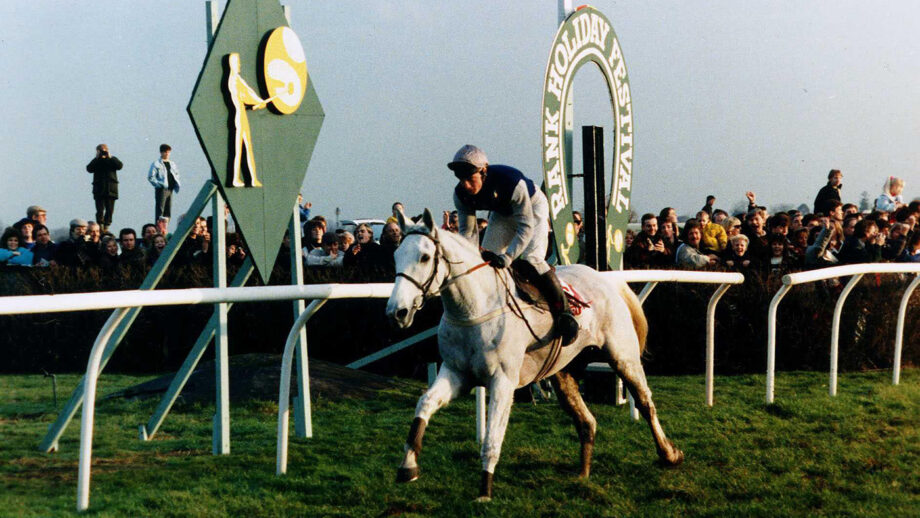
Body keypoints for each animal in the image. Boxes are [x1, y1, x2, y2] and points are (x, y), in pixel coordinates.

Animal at [384, 211, 680, 504]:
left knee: (644, 402)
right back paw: (583, 474)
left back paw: (669, 454)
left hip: (622, 355)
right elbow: (424, 404)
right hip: (563, 371)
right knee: (586, 421)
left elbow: (492, 438)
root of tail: (602, 277)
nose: (396, 312)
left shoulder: (502, 381)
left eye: (424, 257)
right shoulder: (456, 373)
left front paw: (484, 491)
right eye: (396, 255)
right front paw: (408, 466)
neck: (474, 308)